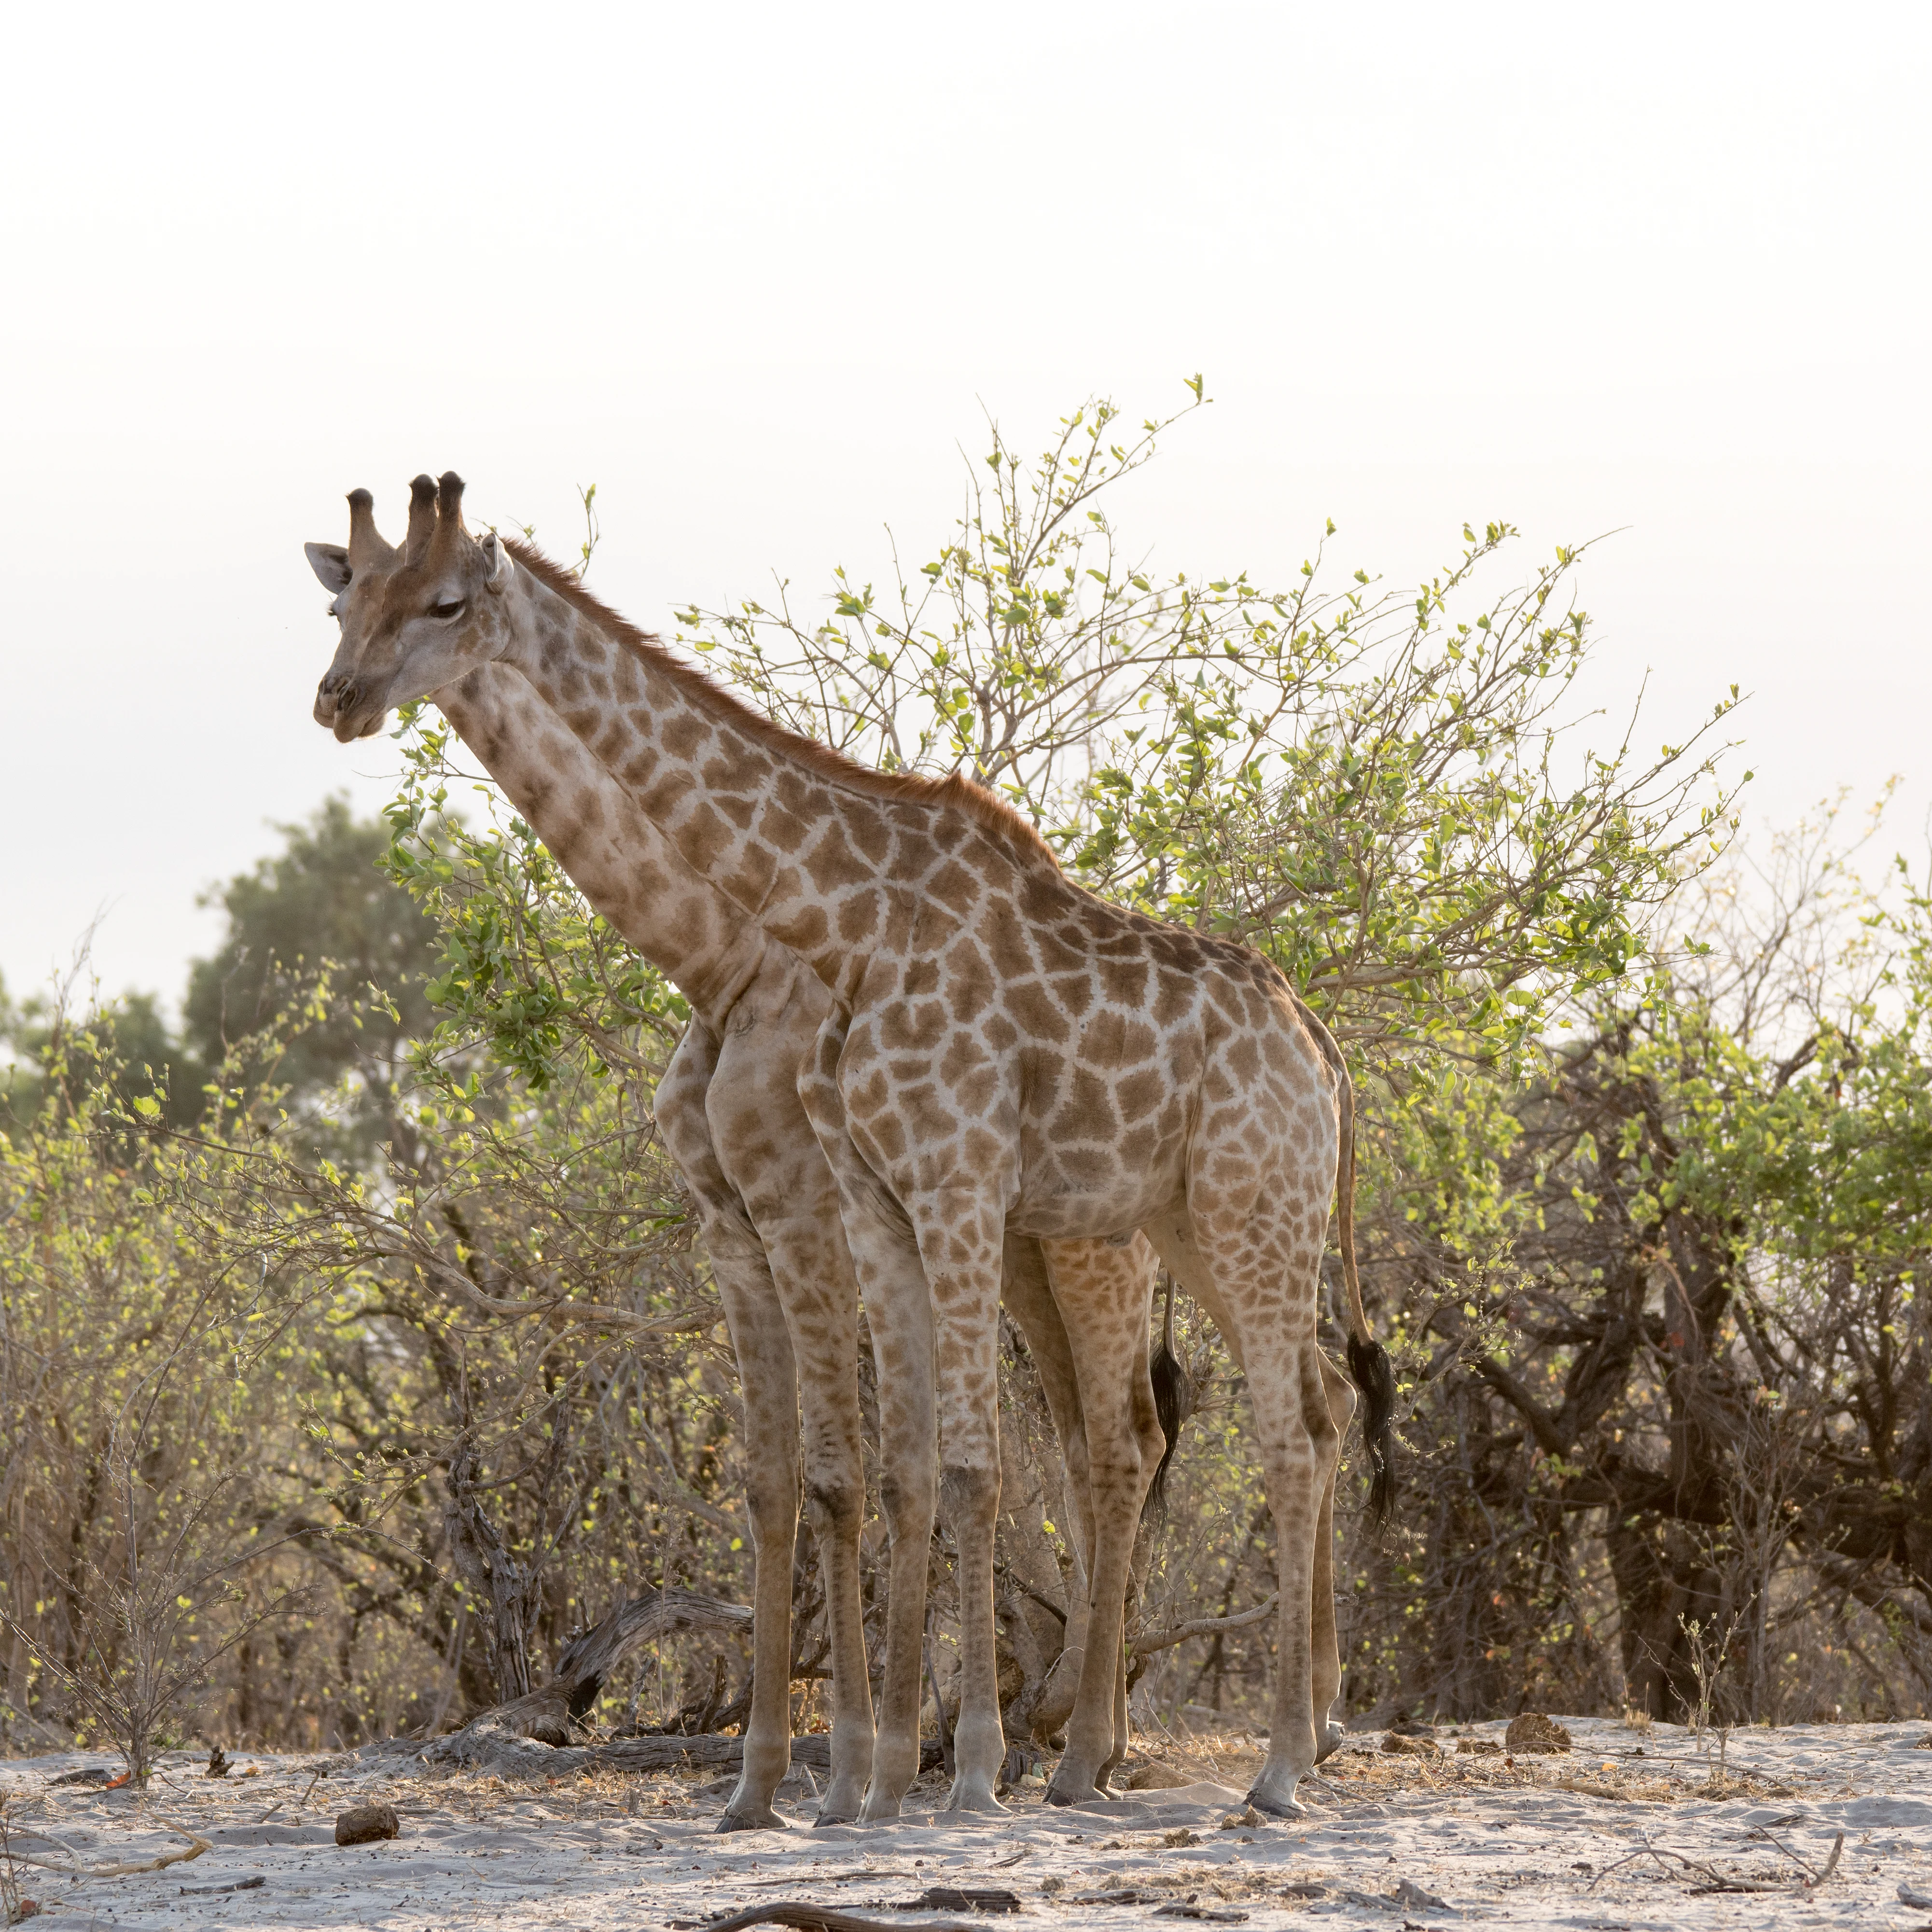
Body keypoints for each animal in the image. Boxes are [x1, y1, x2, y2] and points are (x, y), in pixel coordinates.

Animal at [311, 471, 1396, 1818]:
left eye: (445, 602)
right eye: (344, 601)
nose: (338, 697)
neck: (801, 935)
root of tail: (1319, 1047)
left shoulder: (921, 1186)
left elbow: (944, 1470)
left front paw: (945, 1772)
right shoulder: (844, 1207)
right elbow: (864, 1475)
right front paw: (848, 1788)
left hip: (1232, 1219)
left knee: (1269, 1432)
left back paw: (1277, 1764)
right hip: (1184, 1225)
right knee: (1256, 1414)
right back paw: (1138, 1752)